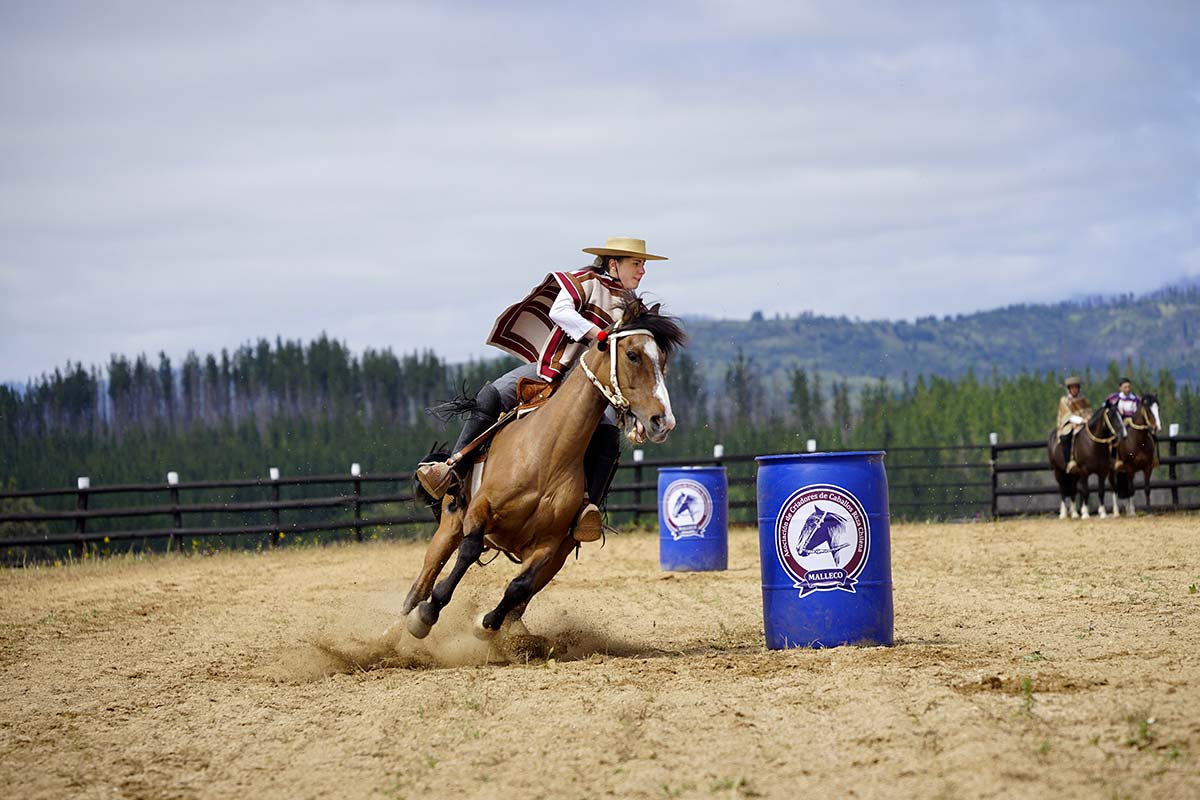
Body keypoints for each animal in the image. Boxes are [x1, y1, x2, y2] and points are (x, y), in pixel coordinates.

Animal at [400, 303, 686, 642]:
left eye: (663, 359)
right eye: (632, 355)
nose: (662, 421)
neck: (546, 457)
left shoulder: (549, 545)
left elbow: (518, 587)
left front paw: (487, 624)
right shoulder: (480, 511)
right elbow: (468, 552)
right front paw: (426, 615)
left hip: (556, 555)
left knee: (523, 595)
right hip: (449, 526)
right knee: (422, 583)